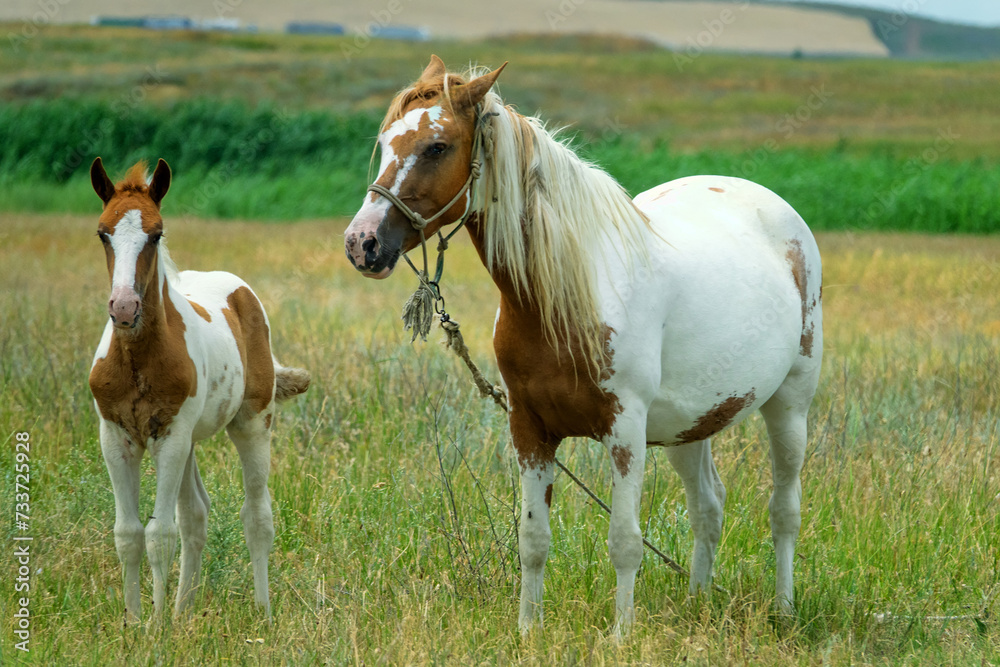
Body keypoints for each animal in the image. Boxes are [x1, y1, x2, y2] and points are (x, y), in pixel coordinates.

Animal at [88, 157, 310, 624]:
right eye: (103, 232)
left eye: (156, 233)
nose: (124, 308)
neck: (138, 359)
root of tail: (241, 291)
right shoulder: (116, 437)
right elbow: (129, 533)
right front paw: (134, 622)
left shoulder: (170, 437)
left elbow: (159, 533)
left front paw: (154, 627)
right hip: (190, 441)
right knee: (196, 515)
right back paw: (182, 610)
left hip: (251, 424)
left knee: (256, 515)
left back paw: (261, 612)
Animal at [343, 56, 823, 636]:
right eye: (385, 141)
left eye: (437, 147)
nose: (362, 243)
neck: (566, 298)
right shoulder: (529, 430)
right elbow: (532, 540)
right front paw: (527, 631)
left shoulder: (626, 432)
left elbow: (625, 542)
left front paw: (620, 636)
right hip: (690, 425)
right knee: (708, 506)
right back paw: (697, 603)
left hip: (790, 406)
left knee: (784, 509)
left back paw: (784, 608)